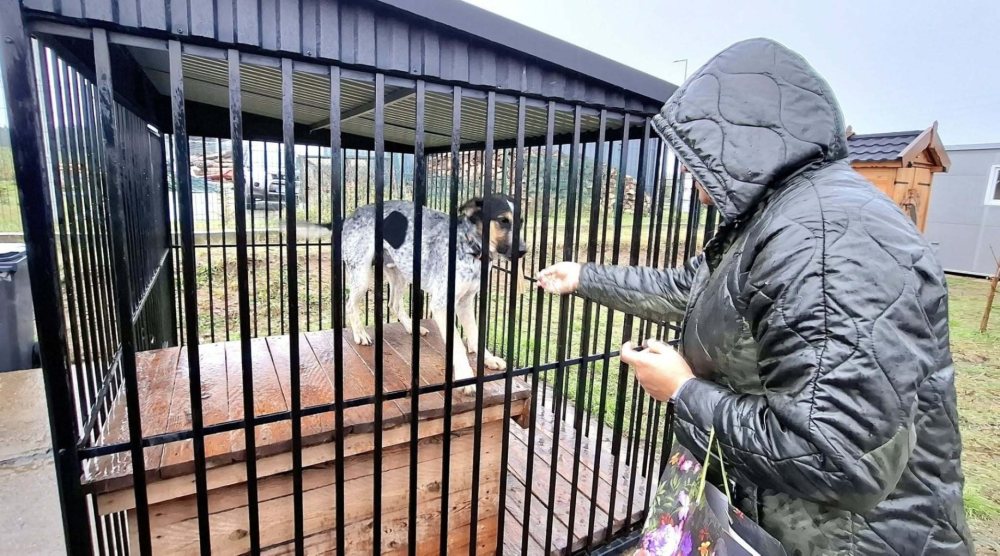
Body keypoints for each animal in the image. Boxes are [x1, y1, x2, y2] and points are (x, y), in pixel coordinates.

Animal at [321, 194, 526, 393]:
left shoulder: (465, 303)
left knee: (393, 303)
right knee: (350, 304)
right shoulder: (442, 305)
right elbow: (458, 345)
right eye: (503, 220)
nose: (524, 251)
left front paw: (489, 359)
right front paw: (465, 376)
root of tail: (350, 216)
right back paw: (360, 334)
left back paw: (412, 327)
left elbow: (475, 335)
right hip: (362, 276)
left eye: (522, 221)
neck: (471, 247)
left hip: (401, 273)